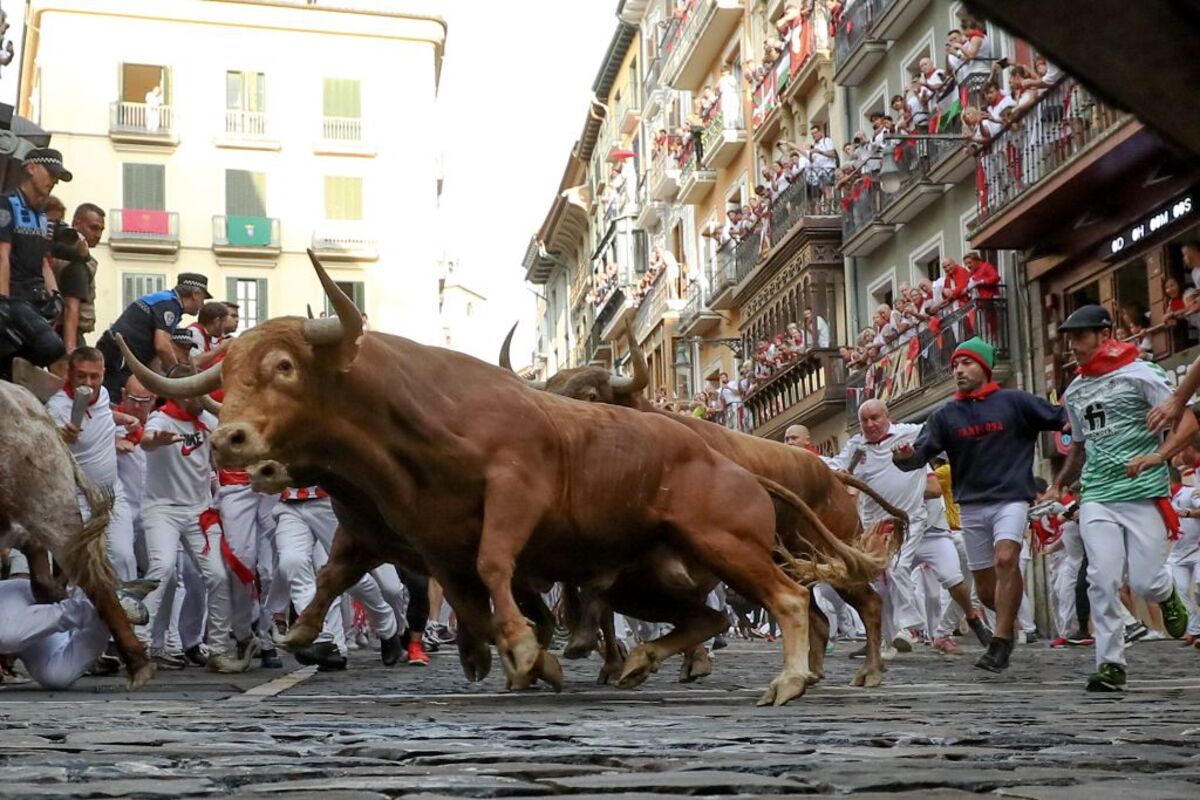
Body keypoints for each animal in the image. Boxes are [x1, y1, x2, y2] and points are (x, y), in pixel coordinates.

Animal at [501, 326, 902, 690]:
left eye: (590, 395)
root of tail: (830, 473)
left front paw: (682, 661)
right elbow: (593, 596)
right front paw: (612, 657)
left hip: (824, 553)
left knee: (868, 603)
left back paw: (869, 670)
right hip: (790, 561)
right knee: (816, 615)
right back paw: (814, 672)